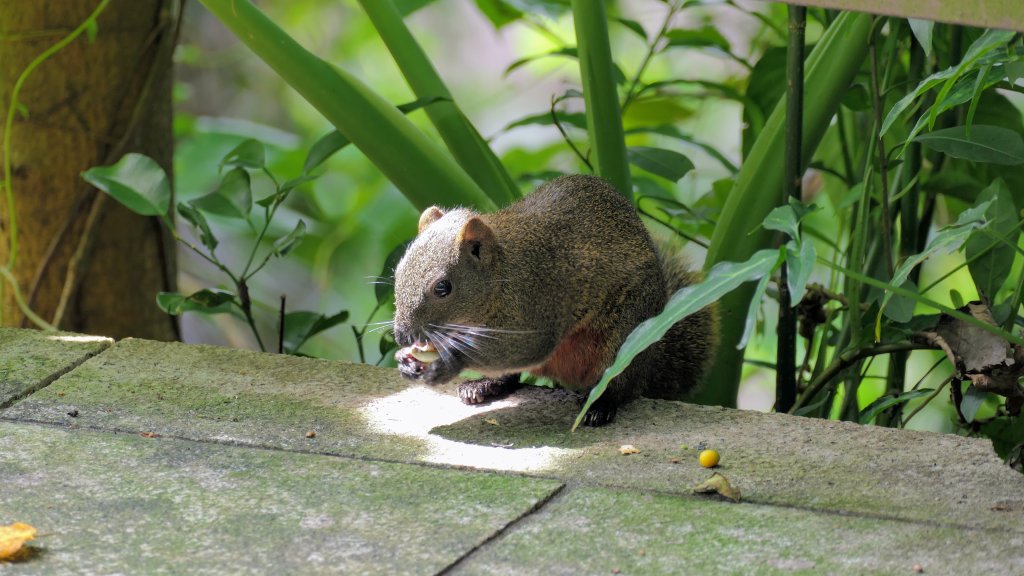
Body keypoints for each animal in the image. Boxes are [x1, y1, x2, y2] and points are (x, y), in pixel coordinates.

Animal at [391, 172, 720, 424]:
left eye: (443, 288)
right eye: (398, 270)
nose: (402, 335)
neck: (501, 275)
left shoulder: (537, 303)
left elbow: (521, 348)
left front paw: (444, 363)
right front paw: (408, 360)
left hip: (627, 334)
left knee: (622, 385)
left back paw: (600, 406)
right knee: (511, 377)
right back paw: (485, 385)